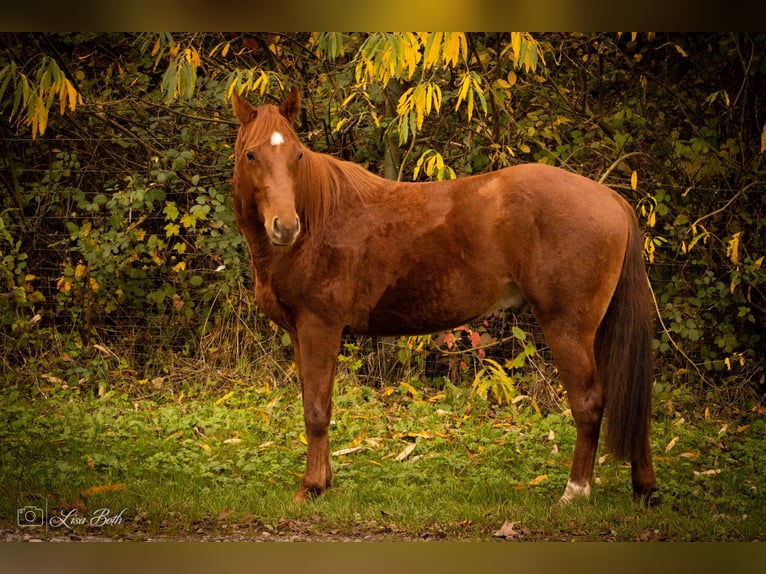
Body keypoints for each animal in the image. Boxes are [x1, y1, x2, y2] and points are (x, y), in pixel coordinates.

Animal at [231, 88, 656, 506]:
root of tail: (612, 199)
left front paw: (312, 487)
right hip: (597, 330)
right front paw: (325, 481)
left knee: (589, 403)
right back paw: (645, 488)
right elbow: (314, 401)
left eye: (297, 154)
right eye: (251, 154)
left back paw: (574, 492)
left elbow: (317, 410)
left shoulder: (320, 327)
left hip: (568, 328)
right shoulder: (298, 331)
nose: (285, 227)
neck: (319, 219)